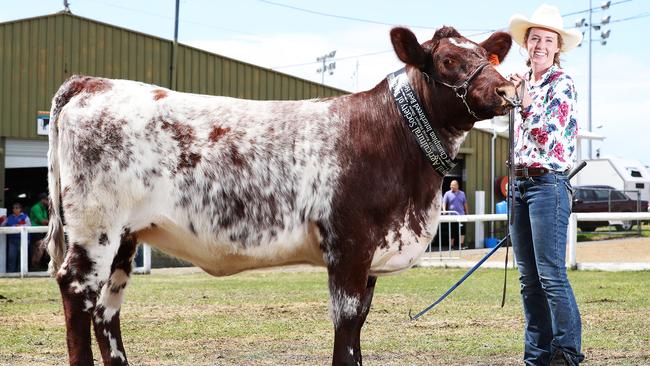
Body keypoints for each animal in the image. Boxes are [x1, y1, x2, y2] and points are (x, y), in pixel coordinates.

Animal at [43, 26, 512, 366]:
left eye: (488, 56)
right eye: (449, 60)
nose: (507, 90)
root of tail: (94, 83)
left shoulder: (370, 257)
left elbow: (359, 324)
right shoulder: (349, 247)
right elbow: (346, 330)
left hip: (125, 238)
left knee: (107, 308)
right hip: (96, 229)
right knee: (77, 291)